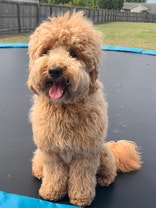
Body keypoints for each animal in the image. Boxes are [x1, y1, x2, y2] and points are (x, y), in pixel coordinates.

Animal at [27, 11, 142, 206]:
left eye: (73, 53)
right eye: (46, 51)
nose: (55, 70)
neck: (64, 107)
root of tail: (112, 146)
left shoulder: (85, 153)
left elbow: (81, 177)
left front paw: (81, 197)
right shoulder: (51, 152)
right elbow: (54, 174)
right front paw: (51, 192)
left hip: (103, 153)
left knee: (109, 171)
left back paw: (104, 179)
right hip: (40, 154)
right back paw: (39, 173)